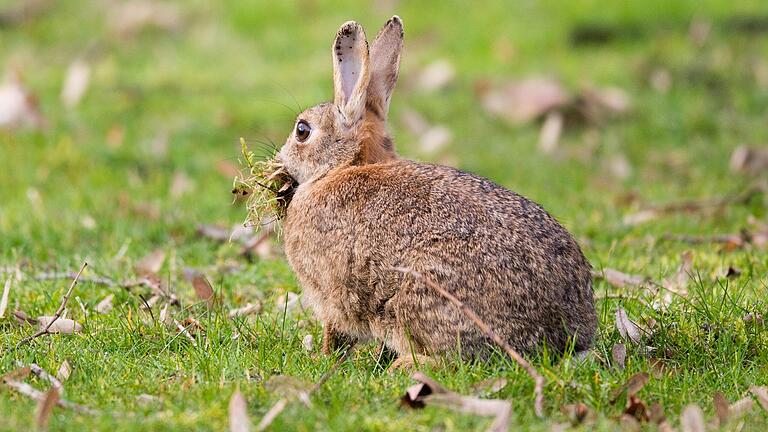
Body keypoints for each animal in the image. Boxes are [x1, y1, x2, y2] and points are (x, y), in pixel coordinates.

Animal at [278, 16, 600, 362]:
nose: (280, 158)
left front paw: (321, 357)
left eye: (302, 131)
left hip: (422, 295)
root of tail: (561, 339)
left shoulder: (331, 292)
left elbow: (334, 330)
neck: (344, 166)